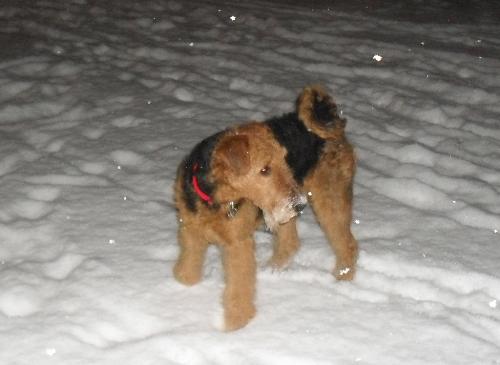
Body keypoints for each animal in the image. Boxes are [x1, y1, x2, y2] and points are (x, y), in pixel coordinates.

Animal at [174, 85, 358, 330]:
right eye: (264, 170)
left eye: (285, 160)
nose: (299, 204)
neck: (214, 196)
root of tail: (328, 117)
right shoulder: (190, 231)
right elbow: (187, 271)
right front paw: (183, 289)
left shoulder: (238, 244)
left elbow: (239, 286)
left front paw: (236, 326)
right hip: (287, 213)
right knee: (290, 242)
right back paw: (271, 270)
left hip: (328, 199)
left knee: (347, 244)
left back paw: (341, 282)